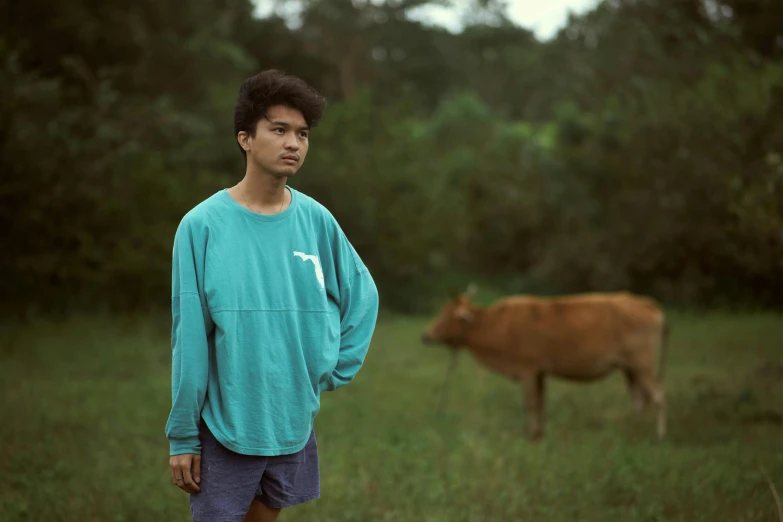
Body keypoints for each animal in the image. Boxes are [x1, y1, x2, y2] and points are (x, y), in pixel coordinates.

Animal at [422, 284, 668, 438]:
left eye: (444, 314)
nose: (425, 335)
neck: (494, 324)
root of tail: (647, 304)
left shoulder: (528, 370)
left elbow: (531, 403)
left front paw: (531, 435)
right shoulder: (540, 373)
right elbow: (540, 404)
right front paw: (539, 434)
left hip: (643, 365)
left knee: (658, 396)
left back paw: (659, 436)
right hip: (629, 369)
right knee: (638, 399)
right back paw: (632, 430)